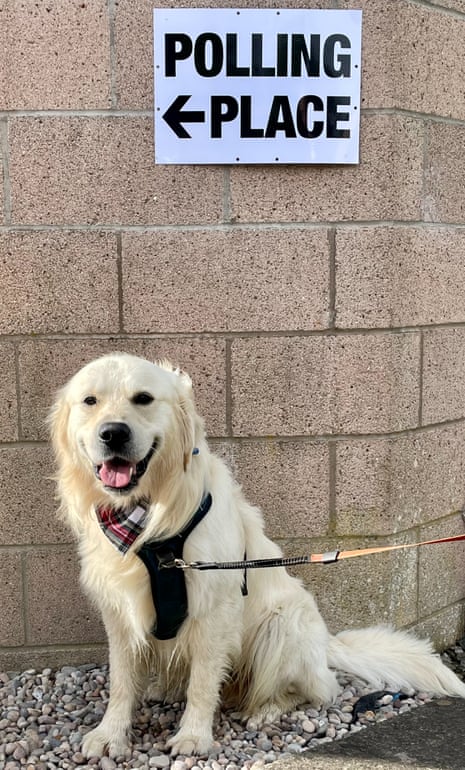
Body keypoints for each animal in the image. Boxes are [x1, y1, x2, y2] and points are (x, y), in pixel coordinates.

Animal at [49, 352, 464, 756]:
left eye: (144, 398)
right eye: (90, 401)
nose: (113, 433)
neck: (148, 521)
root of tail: (326, 644)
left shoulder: (214, 609)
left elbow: (203, 682)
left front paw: (194, 737)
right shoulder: (120, 611)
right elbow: (121, 682)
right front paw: (110, 735)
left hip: (282, 623)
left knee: (316, 690)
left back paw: (265, 710)